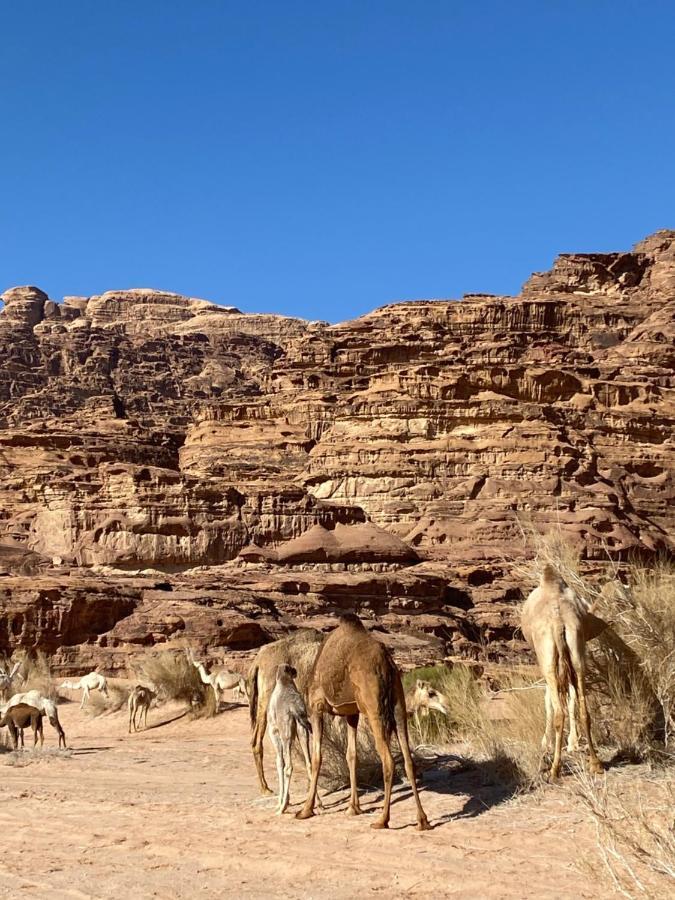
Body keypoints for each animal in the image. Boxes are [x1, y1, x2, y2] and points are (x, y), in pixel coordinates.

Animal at [266, 660, 314, 816]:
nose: (296, 671)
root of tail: (294, 709)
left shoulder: (274, 732)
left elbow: (279, 763)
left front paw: (282, 802)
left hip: (285, 733)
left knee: (288, 767)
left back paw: (281, 809)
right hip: (303, 731)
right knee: (309, 763)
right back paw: (318, 805)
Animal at [298, 616, 434, 832]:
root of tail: (386, 663)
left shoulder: (316, 707)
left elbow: (317, 757)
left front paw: (305, 810)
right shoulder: (352, 714)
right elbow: (352, 755)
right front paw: (353, 807)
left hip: (373, 706)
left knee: (388, 760)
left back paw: (382, 820)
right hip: (398, 704)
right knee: (408, 760)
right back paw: (422, 821)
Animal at [520, 564, 604, 780]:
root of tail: (559, 621)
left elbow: (548, 700)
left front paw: (545, 743)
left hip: (547, 655)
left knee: (559, 710)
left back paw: (554, 769)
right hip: (577, 650)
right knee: (584, 709)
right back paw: (596, 764)